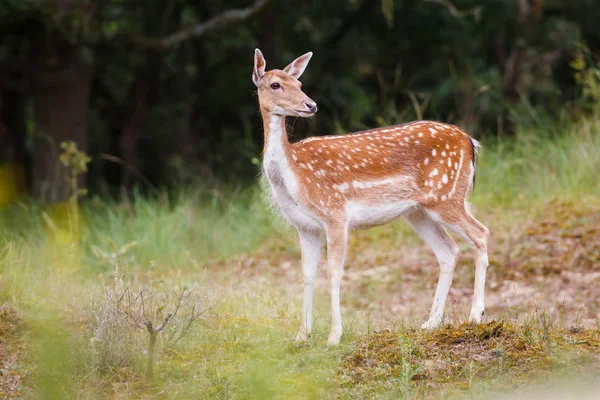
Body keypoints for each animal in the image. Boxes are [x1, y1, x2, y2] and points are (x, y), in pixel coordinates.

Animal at [251, 48, 490, 346]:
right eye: (276, 84)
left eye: (299, 83)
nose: (311, 105)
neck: (294, 176)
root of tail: (471, 142)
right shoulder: (305, 225)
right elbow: (307, 274)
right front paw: (301, 335)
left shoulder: (335, 214)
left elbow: (334, 272)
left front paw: (334, 336)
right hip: (419, 211)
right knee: (449, 252)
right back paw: (430, 323)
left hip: (447, 195)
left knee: (481, 233)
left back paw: (475, 314)